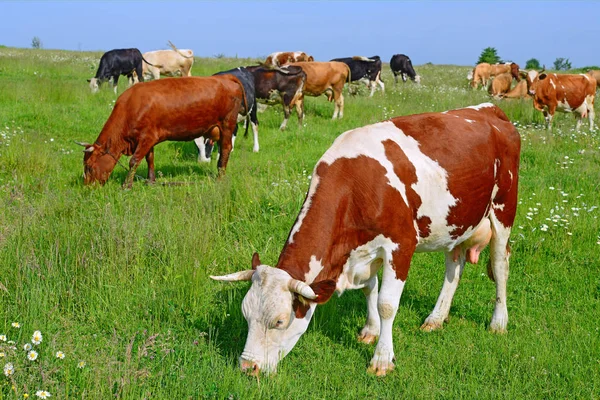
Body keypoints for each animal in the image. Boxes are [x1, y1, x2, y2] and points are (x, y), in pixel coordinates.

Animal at [77, 75, 246, 188]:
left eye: (89, 166)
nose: (87, 187)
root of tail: (224, 77)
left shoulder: (146, 138)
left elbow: (134, 161)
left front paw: (126, 186)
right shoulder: (148, 138)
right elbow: (149, 159)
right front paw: (151, 181)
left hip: (227, 125)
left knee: (225, 149)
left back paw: (220, 178)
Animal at [211, 102, 520, 376]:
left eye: (279, 321)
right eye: (245, 314)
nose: (247, 368)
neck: (355, 183)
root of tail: (489, 109)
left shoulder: (400, 245)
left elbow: (386, 303)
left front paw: (382, 360)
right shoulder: (362, 251)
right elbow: (369, 289)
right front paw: (370, 331)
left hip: (504, 208)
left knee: (500, 265)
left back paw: (499, 322)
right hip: (455, 221)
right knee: (453, 266)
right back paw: (436, 318)